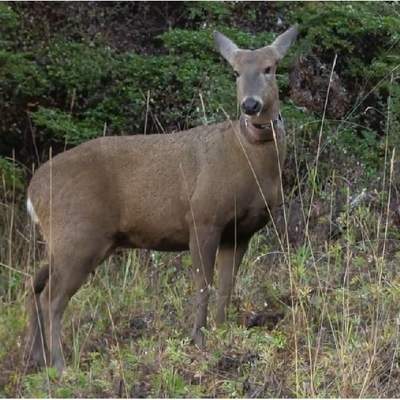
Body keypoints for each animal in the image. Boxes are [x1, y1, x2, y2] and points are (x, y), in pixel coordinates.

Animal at [26, 25, 296, 372]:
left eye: (269, 68)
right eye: (235, 72)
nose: (250, 105)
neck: (249, 160)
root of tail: (33, 192)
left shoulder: (241, 231)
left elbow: (226, 285)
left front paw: (222, 329)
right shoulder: (203, 216)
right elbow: (203, 284)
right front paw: (198, 338)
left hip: (66, 242)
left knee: (34, 284)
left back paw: (36, 357)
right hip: (79, 236)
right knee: (52, 297)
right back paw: (60, 365)